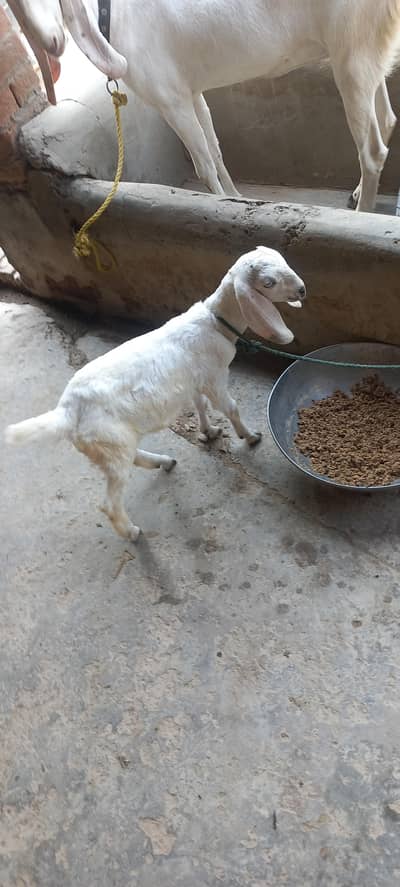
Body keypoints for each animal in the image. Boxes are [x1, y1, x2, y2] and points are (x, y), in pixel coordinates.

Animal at [4, 247, 305, 540]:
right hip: (111, 442)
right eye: (269, 283)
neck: (215, 322)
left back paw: (164, 462)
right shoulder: (214, 377)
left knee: (132, 458)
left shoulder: (195, 381)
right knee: (109, 502)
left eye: (283, 260)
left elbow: (199, 404)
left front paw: (209, 432)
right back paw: (132, 532)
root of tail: (66, 412)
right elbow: (230, 407)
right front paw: (250, 436)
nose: (302, 290)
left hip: (112, 444)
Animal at [8, 0, 400, 211]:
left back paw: (361, 214)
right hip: (367, 54)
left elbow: (203, 165)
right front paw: (237, 198)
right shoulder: (192, 92)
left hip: (351, 53)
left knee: (372, 151)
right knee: (386, 119)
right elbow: (215, 150)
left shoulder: (171, 99)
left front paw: (218, 204)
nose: (52, 43)